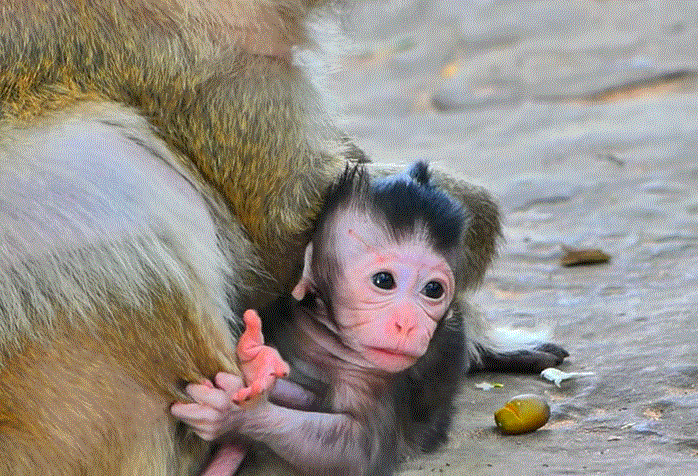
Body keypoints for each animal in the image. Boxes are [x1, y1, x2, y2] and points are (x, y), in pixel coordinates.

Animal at [171, 162, 568, 476]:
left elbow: (356, 451)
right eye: (384, 281)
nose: (408, 324)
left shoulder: (382, 377)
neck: (328, 336)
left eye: (433, 290)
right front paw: (255, 367)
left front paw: (239, 413)